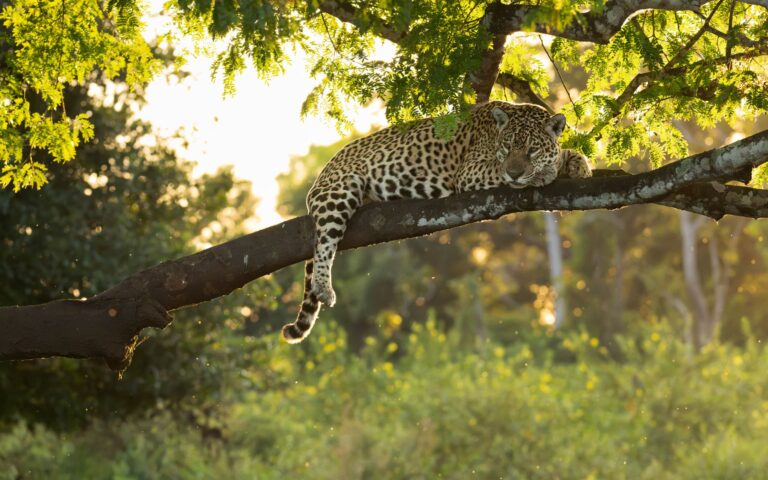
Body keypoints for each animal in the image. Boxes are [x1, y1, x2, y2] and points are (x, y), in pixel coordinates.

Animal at [281, 101, 592, 343]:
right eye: (507, 147)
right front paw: (548, 171)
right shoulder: (472, 170)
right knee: (324, 243)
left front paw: (579, 165)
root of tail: (322, 173)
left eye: (531, 150)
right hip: (340, 190)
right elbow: (504, 169)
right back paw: (324, 287)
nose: (515, 172)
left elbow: (567, 154)